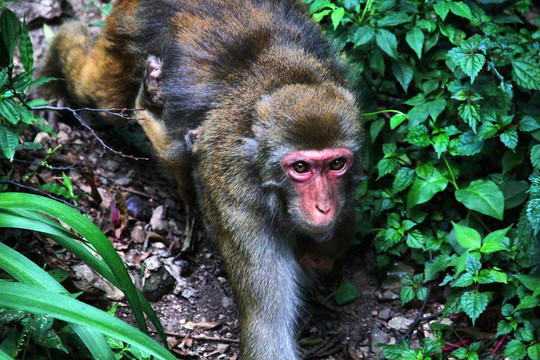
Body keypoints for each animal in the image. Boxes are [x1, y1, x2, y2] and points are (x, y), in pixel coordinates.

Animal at [41, 1, 362, 358]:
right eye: (301, 168)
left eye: (336, 164)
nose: (324, 207)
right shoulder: (236, 200)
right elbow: (268, 328)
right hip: (129, 29)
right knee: (97, 91)